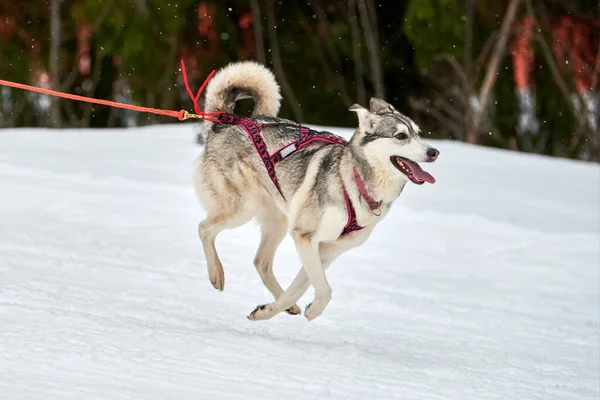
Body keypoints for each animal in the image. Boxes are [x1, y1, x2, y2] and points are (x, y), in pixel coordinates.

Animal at [193, 60, 440, 322]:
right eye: (401, 136)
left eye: (418, 133)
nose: (434, 152)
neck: (353, 182)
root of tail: (225, 122)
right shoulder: (306, 237)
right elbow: (324, 290)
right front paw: (311, 310)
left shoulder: (327, 249)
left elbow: (300, 287)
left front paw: (268, 311)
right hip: (242, 209)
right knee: (204, 229)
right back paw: (216, 273)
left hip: (279, 221)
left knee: (261, 262)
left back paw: (286, 305)